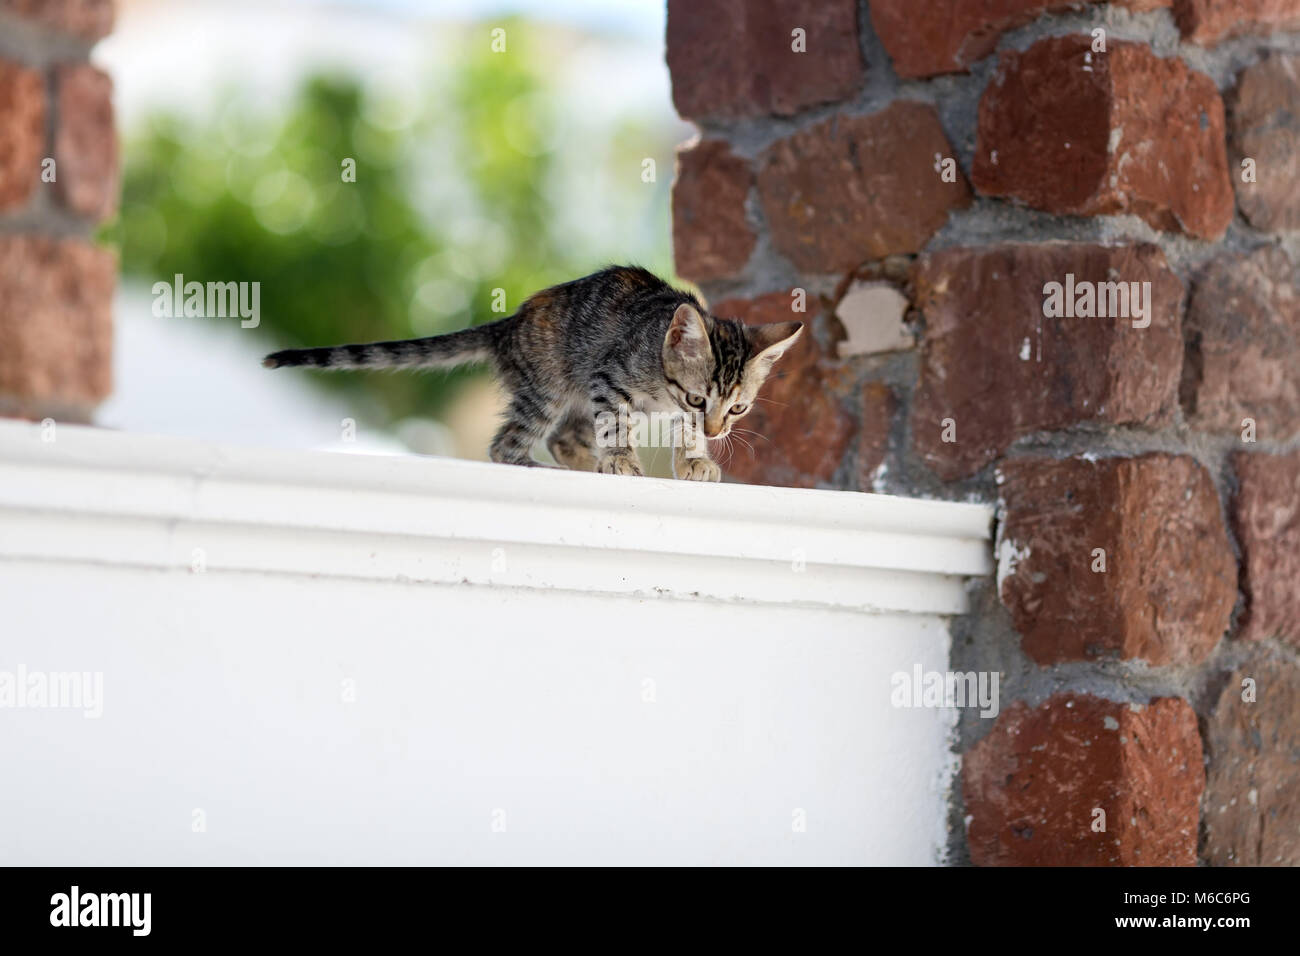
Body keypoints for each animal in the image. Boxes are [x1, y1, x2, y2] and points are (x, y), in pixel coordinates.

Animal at [263, 265, 800, 478]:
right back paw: (546, 464)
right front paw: (622, 459)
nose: (716, 429)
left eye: (737, 409)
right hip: (550, 387)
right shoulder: (609, 377)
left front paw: (693, 459)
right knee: (506, 445)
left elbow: (679, 435)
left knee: (563, 438)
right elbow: (618, 425)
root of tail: (507, 326)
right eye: (696, 399)